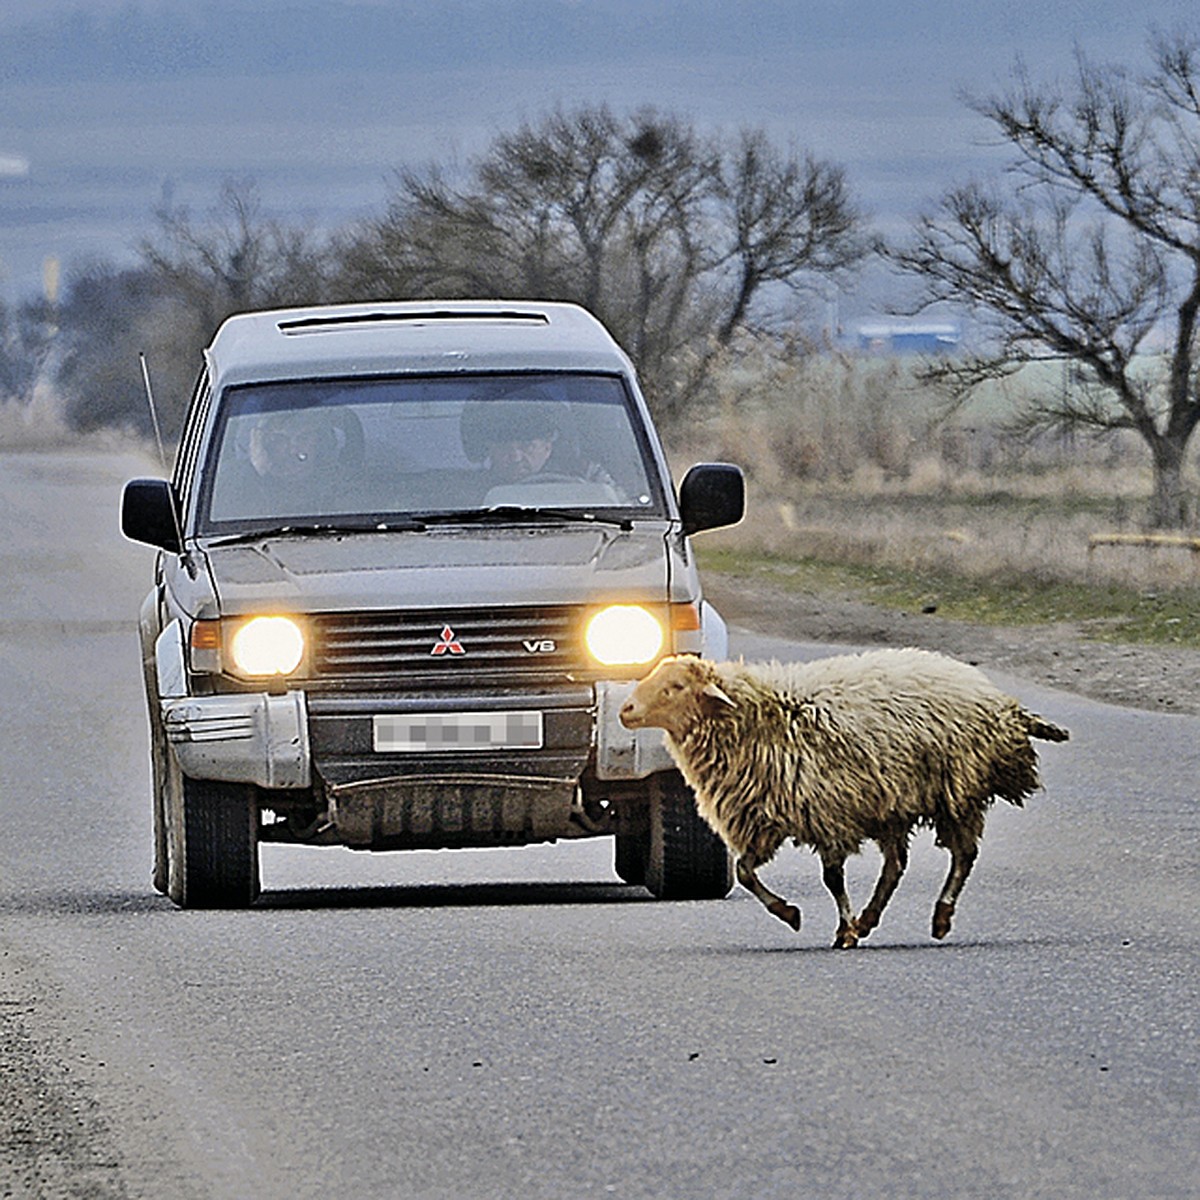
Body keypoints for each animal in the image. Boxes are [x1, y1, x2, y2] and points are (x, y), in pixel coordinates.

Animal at [619, 648, 1070, 945]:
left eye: (675, 686)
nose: (625, 710)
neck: (761, 717)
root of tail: (1003, 703)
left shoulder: (828, 812)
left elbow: (831, 879)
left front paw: (842, 929)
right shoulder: (766, 816)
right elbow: (746, 872)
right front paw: (794, 915)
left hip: (957, 789)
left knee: (962, 855)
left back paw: (939, 916)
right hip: (895, 803)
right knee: (897, 866)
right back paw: (873, 918)